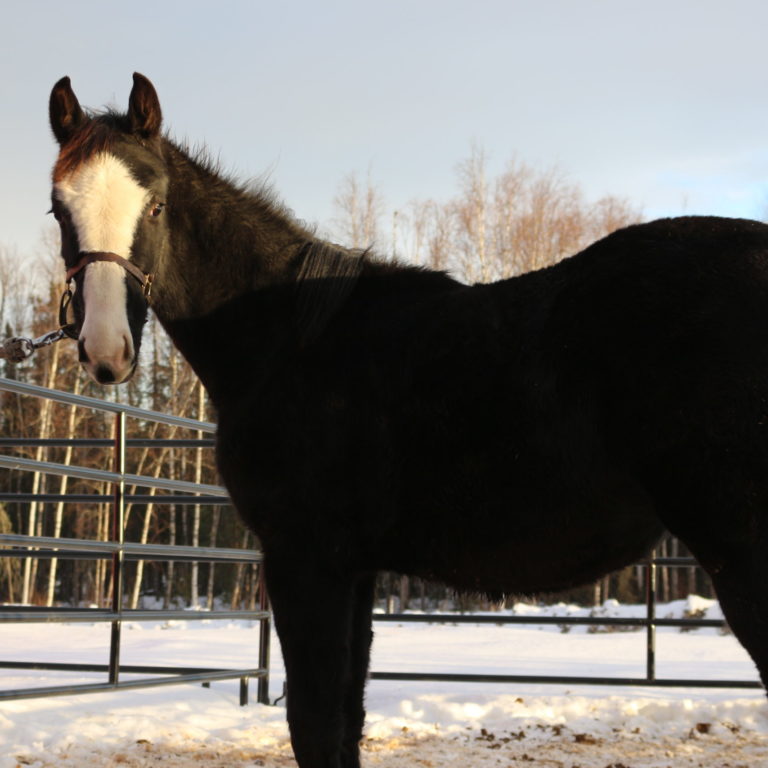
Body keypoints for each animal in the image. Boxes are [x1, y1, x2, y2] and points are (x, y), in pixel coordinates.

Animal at [47, 73, 768, 767]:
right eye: (59, 209)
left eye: (156, 205)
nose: (105, 350)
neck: (288, 340)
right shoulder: (355, 570)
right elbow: (344, 726)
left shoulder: (305, 558)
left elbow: (314, 726)